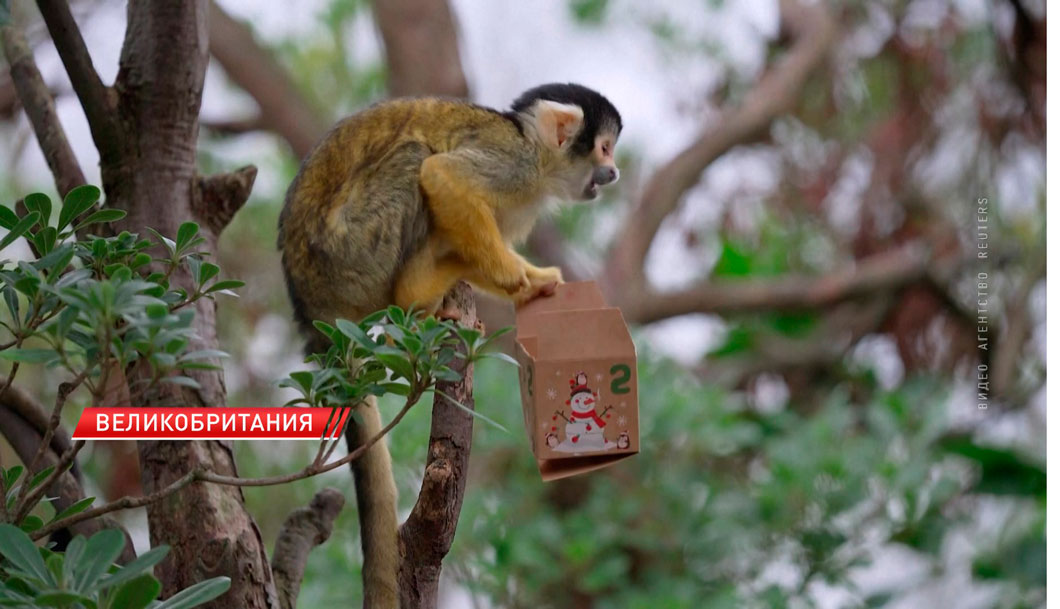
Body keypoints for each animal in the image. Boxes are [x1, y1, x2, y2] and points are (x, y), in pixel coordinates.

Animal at [277, 83, 619, 605]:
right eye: (603, 148)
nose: (614, 172)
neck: (537, 154)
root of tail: (310, 310)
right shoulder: (514, 164)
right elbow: (444, 176)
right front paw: (520, 278)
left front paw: (529, 283)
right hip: (349, 257)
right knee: (417, 159)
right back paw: (415, 295)